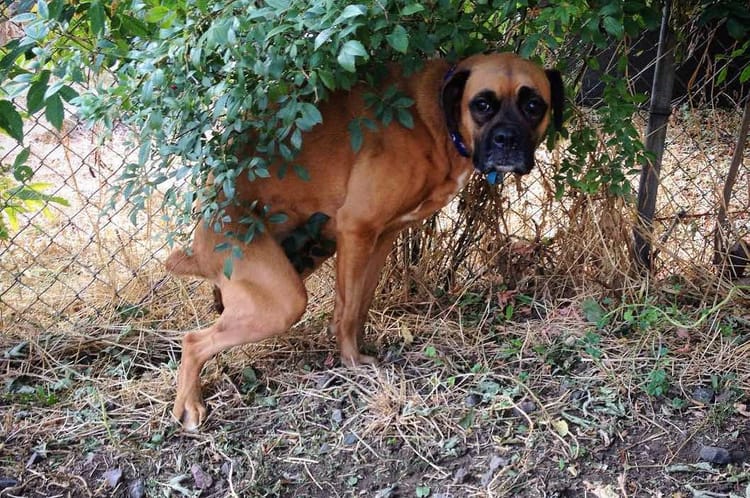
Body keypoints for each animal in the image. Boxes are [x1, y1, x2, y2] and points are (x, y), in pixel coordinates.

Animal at [166, 53, 564, 428]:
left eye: (534, 106)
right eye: (482, 104)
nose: (507, 140)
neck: (439, 122)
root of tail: (200, 232)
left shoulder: (383, 235)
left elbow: (357, 303)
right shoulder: (356, 228)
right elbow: (347, 310)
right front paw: (351, 360)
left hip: (306, 256)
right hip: (281, 300)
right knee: (193, 341)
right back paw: (189, 405)